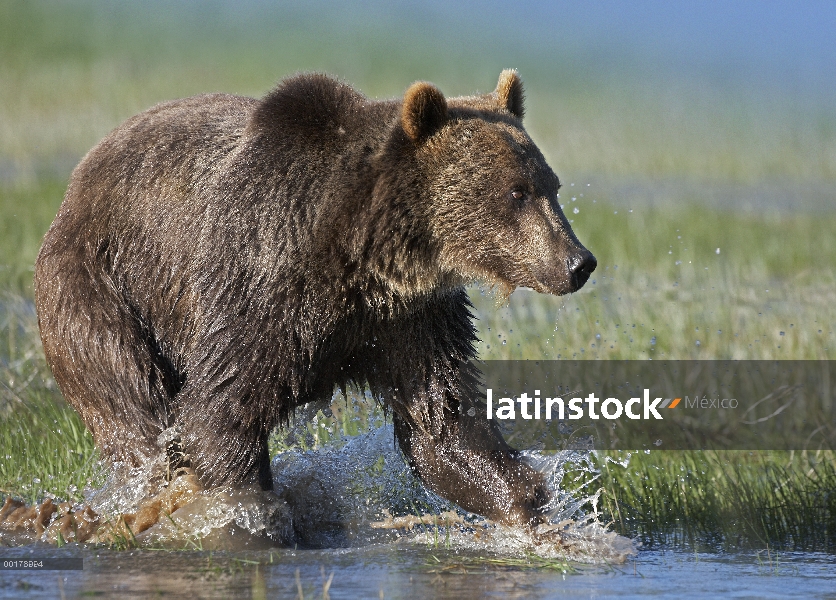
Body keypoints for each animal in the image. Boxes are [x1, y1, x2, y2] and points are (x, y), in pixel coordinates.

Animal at [34, 70, 596, 528]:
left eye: (551, 184)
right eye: (516, 192)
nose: (579, 262)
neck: (361, 256)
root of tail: (75, 185)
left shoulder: (406, 320)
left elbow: (444, 421)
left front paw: (534, 503)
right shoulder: (261, 284)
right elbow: (219, 413)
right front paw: (245, 518)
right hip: (101, 290)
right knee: (135, 408)